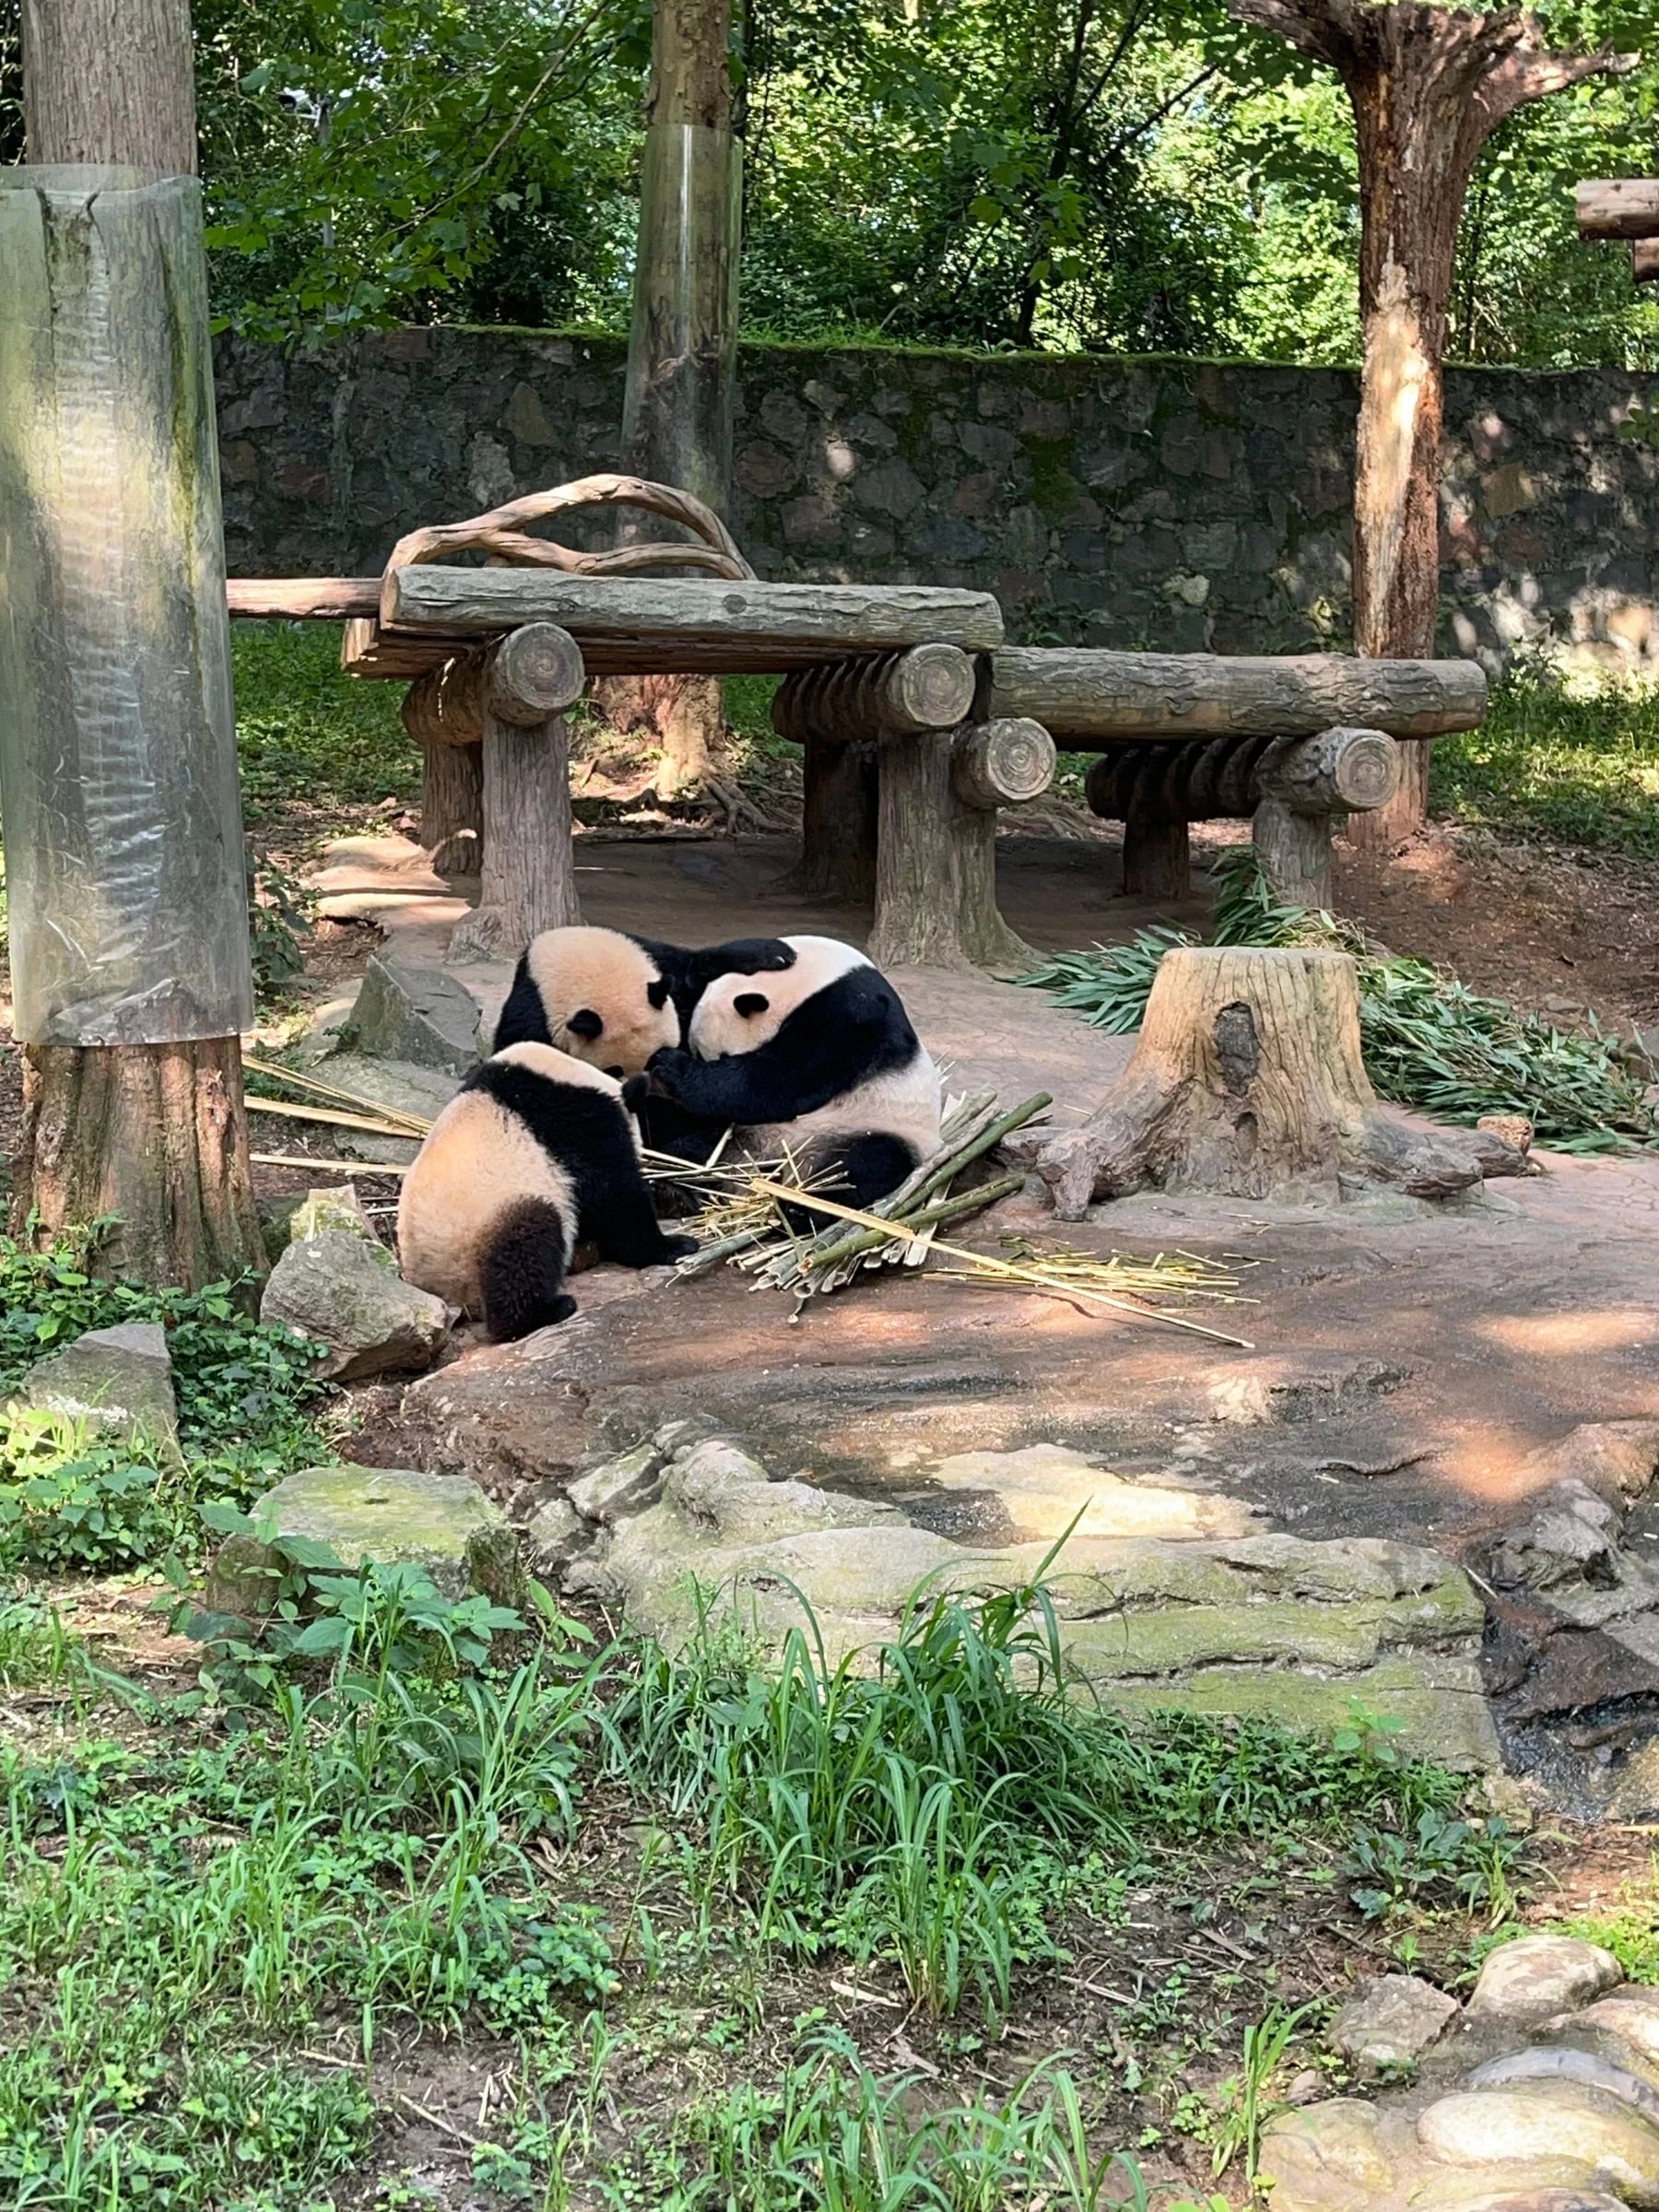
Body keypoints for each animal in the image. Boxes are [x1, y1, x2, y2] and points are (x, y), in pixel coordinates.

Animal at [397, 1041, 697, 1341]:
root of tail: (446, 1294)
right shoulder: (580, 1124)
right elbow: (615, 1195)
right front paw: (673, 1246)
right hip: (484, 1228)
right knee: (526, 1244)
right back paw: (545, 1311)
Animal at [492, 925, 797, 1077]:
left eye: (654, 1058)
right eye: (613, 1070)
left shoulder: (658, 962)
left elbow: (693, 972)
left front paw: (775, 953)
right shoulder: (535, 1013)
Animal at [646, 936, 941, 1210]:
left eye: (724, 1057)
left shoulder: (852, 1015)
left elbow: (781, 1078)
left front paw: (672, 1067)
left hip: (874, 1129)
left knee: (865, 1165)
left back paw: (799, 1210)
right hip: (736, 1138)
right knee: (693, 1153)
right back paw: (673, 1191)